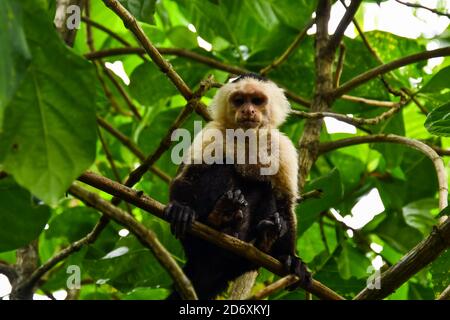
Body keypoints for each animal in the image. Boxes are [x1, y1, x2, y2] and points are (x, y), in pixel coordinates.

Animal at [165, 74, 310, 298]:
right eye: (239, 100)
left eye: (257, 101)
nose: (248, 110)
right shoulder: (213, 132)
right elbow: (189, 175)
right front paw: (182, 207)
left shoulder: (282, 147)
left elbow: (285, 202)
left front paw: (290, 258)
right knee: (222, 166)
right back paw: (220, 218)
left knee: (266, 189)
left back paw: (264, 240)